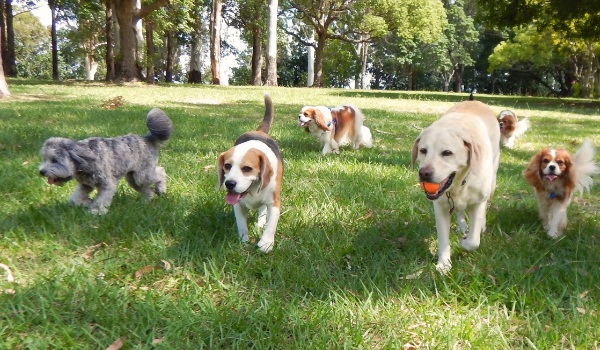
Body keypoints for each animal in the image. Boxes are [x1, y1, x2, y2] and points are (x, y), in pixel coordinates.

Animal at [38, 108, 172, 213]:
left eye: (54, 160)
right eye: (44, 159)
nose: (41, 172)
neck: (84, 160)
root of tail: (146, 139)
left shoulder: (107, 184)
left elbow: (100, 200)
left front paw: (96, 211)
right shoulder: (85, 185)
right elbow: (75, 199)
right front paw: (86, 202)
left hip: (143, 175)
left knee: (161, 172)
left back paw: (161, 189)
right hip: (133, 178)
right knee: (146, 189)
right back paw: (147, 200)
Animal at [412, 101, 502, 274]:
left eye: (447, 153)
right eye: (423, 150)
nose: (424, 173)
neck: (459, 183)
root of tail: (476, 101)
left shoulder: (478, 203)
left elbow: (474, 241)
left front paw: (464, 242)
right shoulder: (440, 207)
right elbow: (443, 239)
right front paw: (444, 264)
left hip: (492, 179)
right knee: (459, 210)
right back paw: (462, 225)